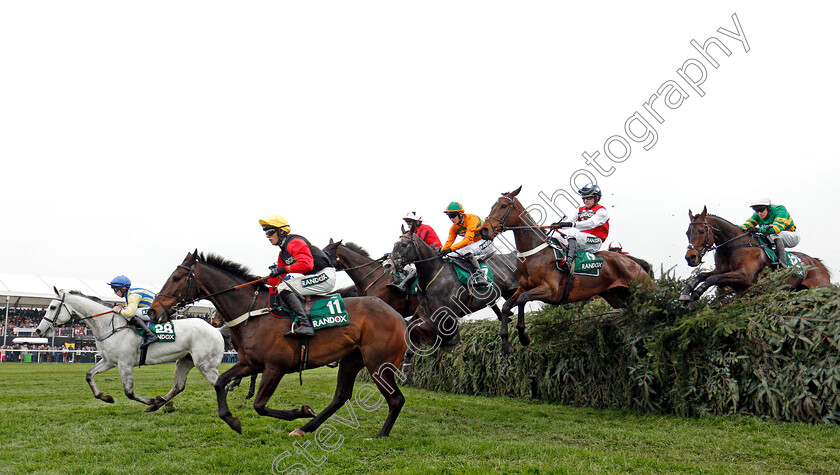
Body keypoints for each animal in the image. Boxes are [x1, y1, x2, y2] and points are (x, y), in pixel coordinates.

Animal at [35, 288, 223, 414]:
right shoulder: (109, 361)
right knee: (179, 386)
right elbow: (89, 375)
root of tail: (216, 330)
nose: (38, 330)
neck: (110, 326)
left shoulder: (124, 364)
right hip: (185, 360)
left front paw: (149, 400)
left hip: (205, 364)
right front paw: (106, 397)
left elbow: (129, 392)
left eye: (53, 307)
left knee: (219, 383)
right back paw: (159, 404)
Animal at [148, 251, 410, 440]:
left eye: (176, 278)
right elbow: (221, 383)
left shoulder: (275, 367)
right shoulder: (250, 363)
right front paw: (232, 420)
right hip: (351, 359)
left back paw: (381, 435)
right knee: (340, 396)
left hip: (378, 364)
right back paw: (305, 428)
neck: (253, 312)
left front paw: (300, 411)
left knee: (396, 399)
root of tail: (398, 315)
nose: (152, 311)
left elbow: (259, 405)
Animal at [476, 186, 652, 320]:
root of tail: (633, 261)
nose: (484, 230)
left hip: (644, 287)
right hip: (617, 296)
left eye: (504, 206)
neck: (534, 253)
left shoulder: (550, 290)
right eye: (493, 206)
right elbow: (510, 303)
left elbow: (522, 299)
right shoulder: (524, 287)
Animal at [684, 206, 832, 304]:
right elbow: (702, 275)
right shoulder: (721, 270)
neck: (732, 245)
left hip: (819, 287)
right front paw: (685, 293)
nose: (690, 257)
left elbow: (712, 279)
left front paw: (695, 294)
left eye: (702, 231)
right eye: (687, 232)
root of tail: (818, 264)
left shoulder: (745, 276)